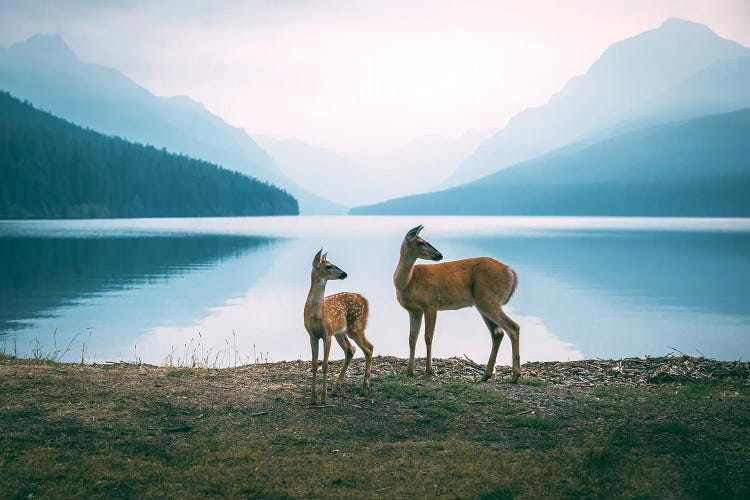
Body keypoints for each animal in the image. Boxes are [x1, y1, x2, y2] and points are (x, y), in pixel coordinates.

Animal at [304, 248, 374, 404]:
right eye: (328, 266)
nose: (344, 274)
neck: (316, 311)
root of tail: (364, 299)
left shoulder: (327, 333)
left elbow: (325, 364)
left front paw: (323, 398)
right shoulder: (312, 335)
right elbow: (314, 364)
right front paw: (312, 397)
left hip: (355, 326)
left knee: (369, 347)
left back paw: (364, 388)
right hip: (341, 332)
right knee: (350, 350)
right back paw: (336, 389)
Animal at [394, 227, 524, 382]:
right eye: (420, 242)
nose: (439, 255)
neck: (408, 282)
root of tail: (512, 273)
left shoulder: (431, 303)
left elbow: (428, 337)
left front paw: (428, 371)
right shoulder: (414, 310)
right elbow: (412, 339)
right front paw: (409, 372)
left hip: (488, 299)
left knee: (513, 327)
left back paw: (515, 375)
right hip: (483, 304)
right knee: (497, 333)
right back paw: (486, 375)